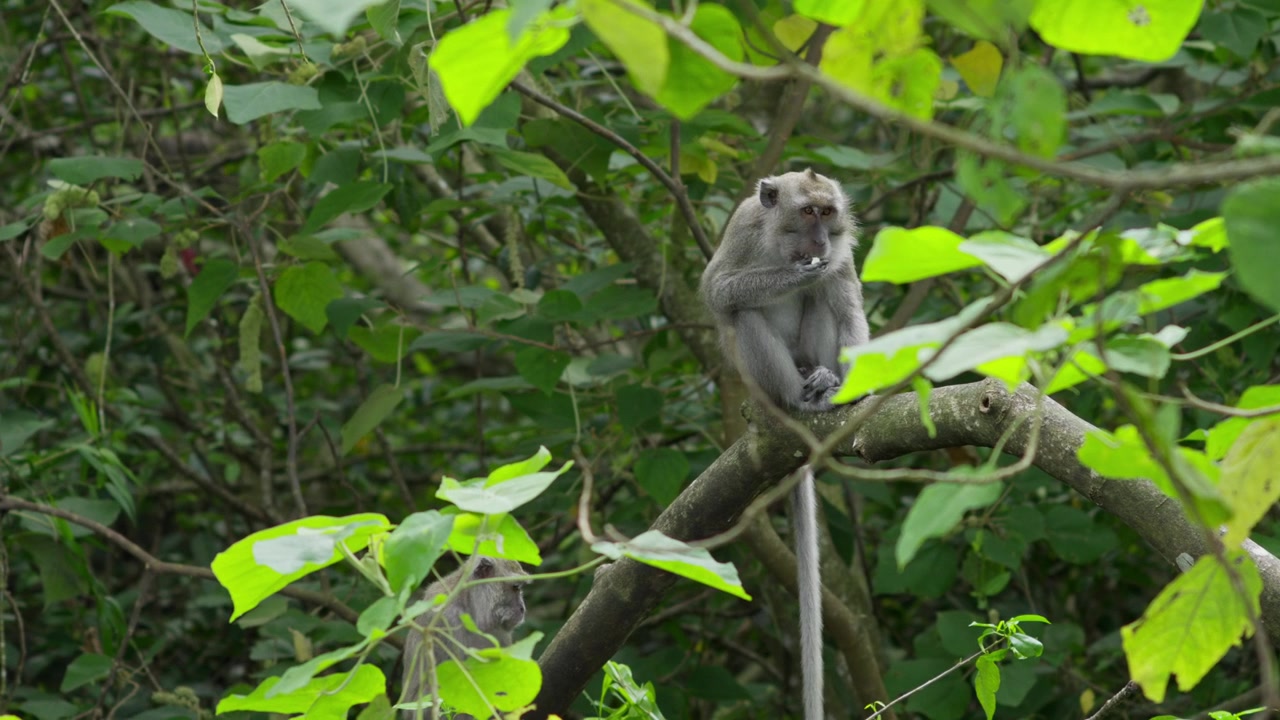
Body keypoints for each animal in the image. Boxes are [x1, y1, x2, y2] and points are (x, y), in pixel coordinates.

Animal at [699, 169, 870, 720]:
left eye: (827, 213)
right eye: (807, 212)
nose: (819, 240)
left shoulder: (844, 251)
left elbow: (846, 302)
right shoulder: (741, 229)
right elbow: (718, 291)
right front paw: (796, 275)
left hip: (812, 353)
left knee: (828, 303)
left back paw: (826, 386)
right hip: (759, 379)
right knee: (746, 313)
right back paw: (797, 397)